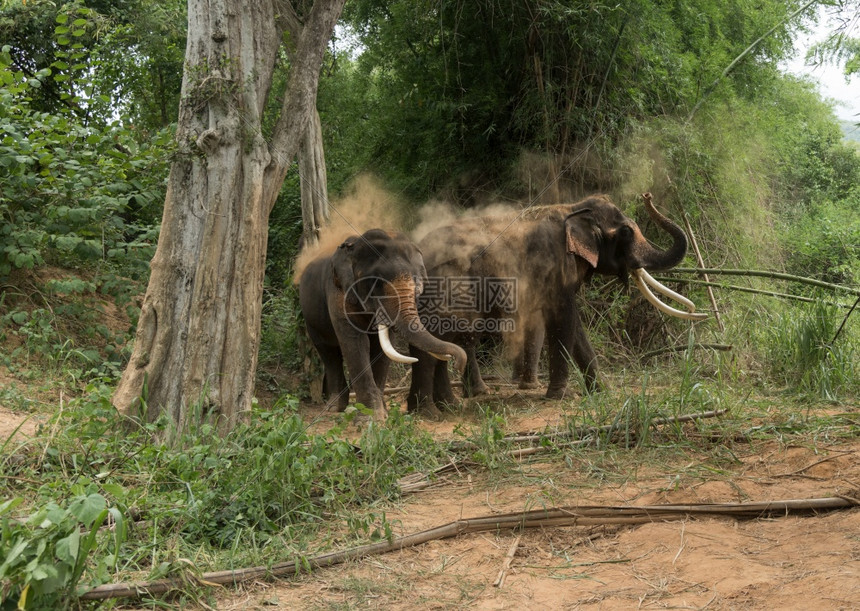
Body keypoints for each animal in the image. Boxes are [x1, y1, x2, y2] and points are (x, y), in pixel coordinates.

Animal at [298, 227, 470, 424]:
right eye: (377, 282)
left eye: (417, 282)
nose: (458, 364)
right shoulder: (338, 293)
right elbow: (357, 343)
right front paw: (370, 419)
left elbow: (380, 349)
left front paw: (383, 413)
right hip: (309, 317)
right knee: (329, 352)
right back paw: (334, 408)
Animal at [406, 194, 704, 414]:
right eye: (626, 232)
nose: (647, 196)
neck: (572, 208)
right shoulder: (556, 265)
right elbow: (563, 319)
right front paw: (562, 396)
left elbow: (576, 328)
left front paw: (602, 391)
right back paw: (435, 410)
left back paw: (445, 407)